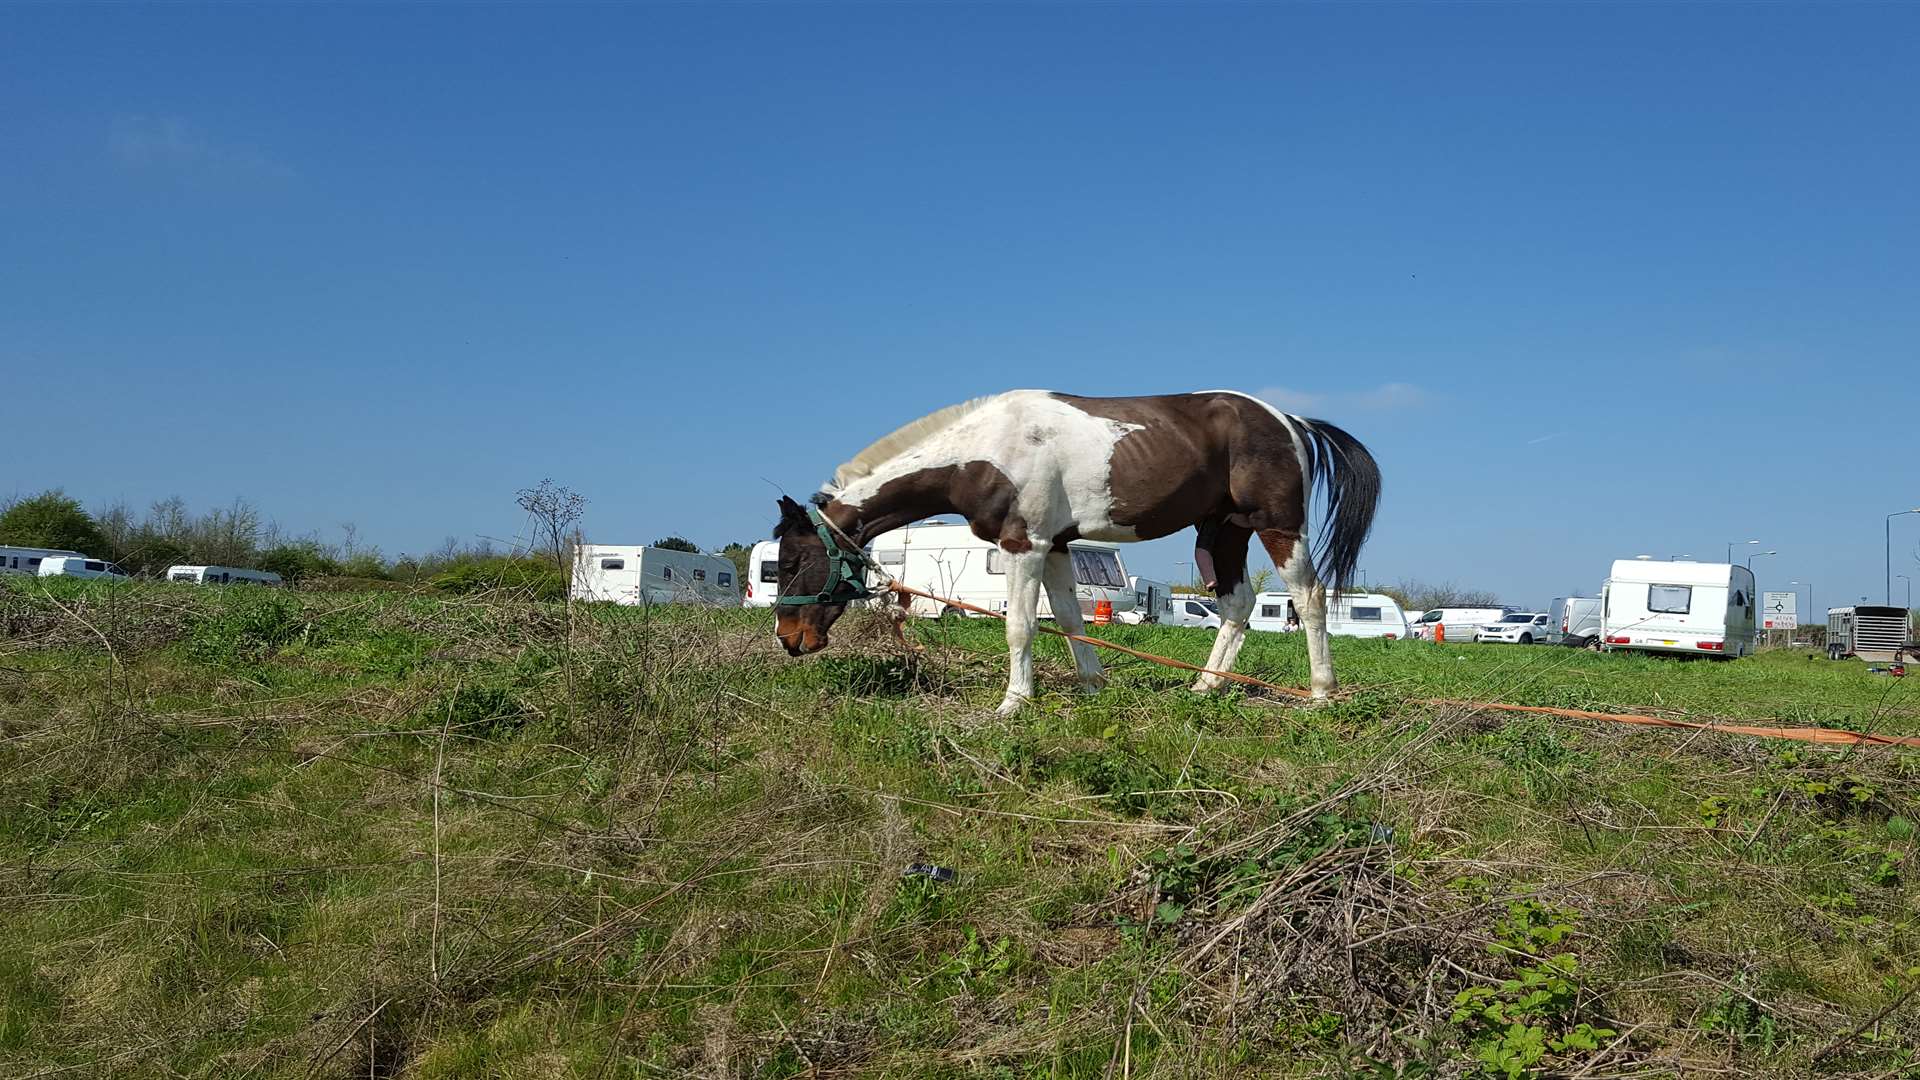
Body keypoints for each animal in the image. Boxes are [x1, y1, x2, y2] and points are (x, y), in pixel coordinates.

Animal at [764, 388, 1382, 714]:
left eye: (790, 563)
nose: (789, 640)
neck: (985, 449)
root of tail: (1289, 419)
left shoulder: (1025, 545)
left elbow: (1020, 626)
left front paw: (1014, 703)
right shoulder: (1058, 547)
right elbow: (1069, 620)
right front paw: (1092, 684)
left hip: (1278, 527)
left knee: (1310, 595)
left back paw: (1321, 694)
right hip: (1223, 530)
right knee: (1236, 606)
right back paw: (1205, 686)